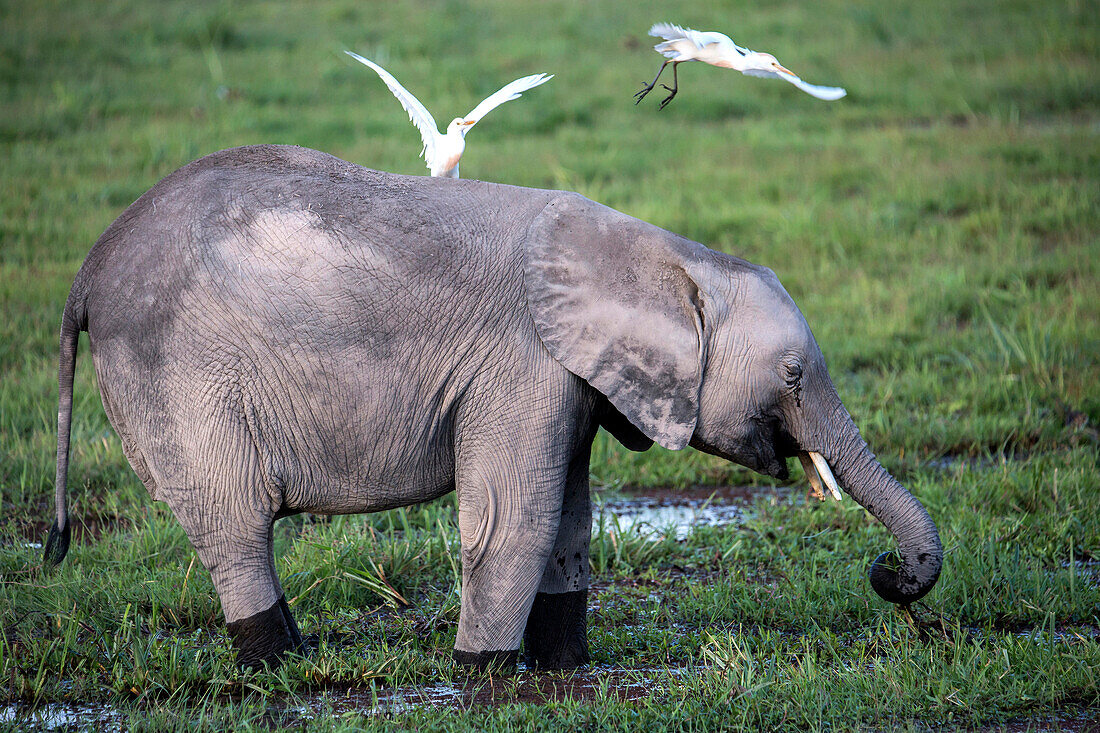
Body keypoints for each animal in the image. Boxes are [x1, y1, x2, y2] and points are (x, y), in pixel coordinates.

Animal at [45, 143, 946, 669]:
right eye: (792, 375)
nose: (889, 574)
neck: (664, 254)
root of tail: (87, 270)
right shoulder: (520, 365)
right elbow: (515, 515)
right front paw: (485, 678)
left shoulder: (571, 378)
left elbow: (570, 516)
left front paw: (563, 668)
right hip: (177, 370)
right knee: (233, 519)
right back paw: (275, 668)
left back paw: (296, 656)